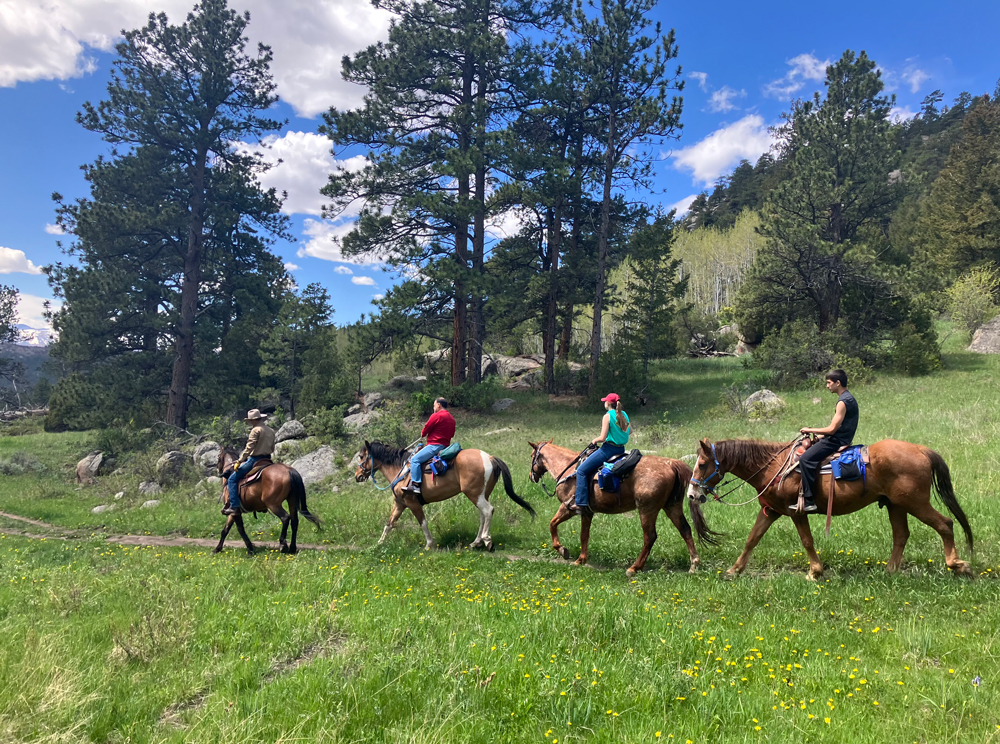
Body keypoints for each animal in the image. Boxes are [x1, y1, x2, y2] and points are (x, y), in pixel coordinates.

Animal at [356, 438, 536, 548]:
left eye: (362, 456)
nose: (357, 476)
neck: (401, 469)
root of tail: (489, 457)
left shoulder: (413, 504)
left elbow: (423, 523)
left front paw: (429, 544)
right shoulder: (400, 504)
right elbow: (389, 524)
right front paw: (379, 544)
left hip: (474, 494)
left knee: (487, 511)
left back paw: (486, 539)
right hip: (481, 495)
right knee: (483, 515)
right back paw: (476, 542)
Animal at [528, 438, 724, 580]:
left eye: (531, 456)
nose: (531, 476)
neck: (569, 470)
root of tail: (671, 464)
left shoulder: (568, 507)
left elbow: (552, 524)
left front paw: (563, 550)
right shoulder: (587, 512)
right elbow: (584, 535)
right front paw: (581, 559)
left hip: (647, 509)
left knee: (650, 537)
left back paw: (634, 568)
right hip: (671, 506)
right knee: (685, 530)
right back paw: (694, 564)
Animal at [684, 436, 972, 580]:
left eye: (701, 464)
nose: (692, 493)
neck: (773, 466)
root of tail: (921, 450)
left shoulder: (795, 511)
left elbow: (807, 541)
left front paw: (815, 572)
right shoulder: (771, 511)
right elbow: (752, 539)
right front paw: (734, 570)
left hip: (915, 503)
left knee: (945, 524)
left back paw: (957, 564)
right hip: (897, 505)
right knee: (901, 535)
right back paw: (890, 570)